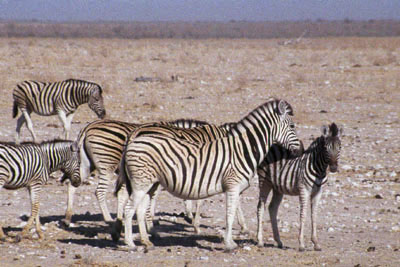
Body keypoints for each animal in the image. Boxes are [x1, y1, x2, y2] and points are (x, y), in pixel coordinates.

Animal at [63, 118, 214, 227]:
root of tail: (88, 127)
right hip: (107, 164)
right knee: (99, 191)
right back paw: (108, 219)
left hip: (87, 164)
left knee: (72, 185)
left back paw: (68, 217)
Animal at [111, 98, 300, 251]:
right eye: (292, 126)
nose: (300, 151)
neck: (242, 149)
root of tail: (133, 139)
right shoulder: (232, 185)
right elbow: (229, 214)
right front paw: (229, 244)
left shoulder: (228, 186)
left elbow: (230, 212)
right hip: (140, 183)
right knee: (129, 210)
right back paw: (130, 244)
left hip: (149, 183)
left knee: (140, 209)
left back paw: (146, 241)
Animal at [258, 122, 342, 252]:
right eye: (325, 148)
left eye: (339, 147)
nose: (333, 168)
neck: (319, 170)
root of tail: (271, 145)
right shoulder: (304, 190)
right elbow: (303, 214)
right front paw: (301, 244)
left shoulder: (318, 192)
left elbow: (314, 215)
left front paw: (316, 243)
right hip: (264, 181)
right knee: (260, 206)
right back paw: (260, 241)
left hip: (278, 187)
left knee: (272, 208)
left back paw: (278, 241)